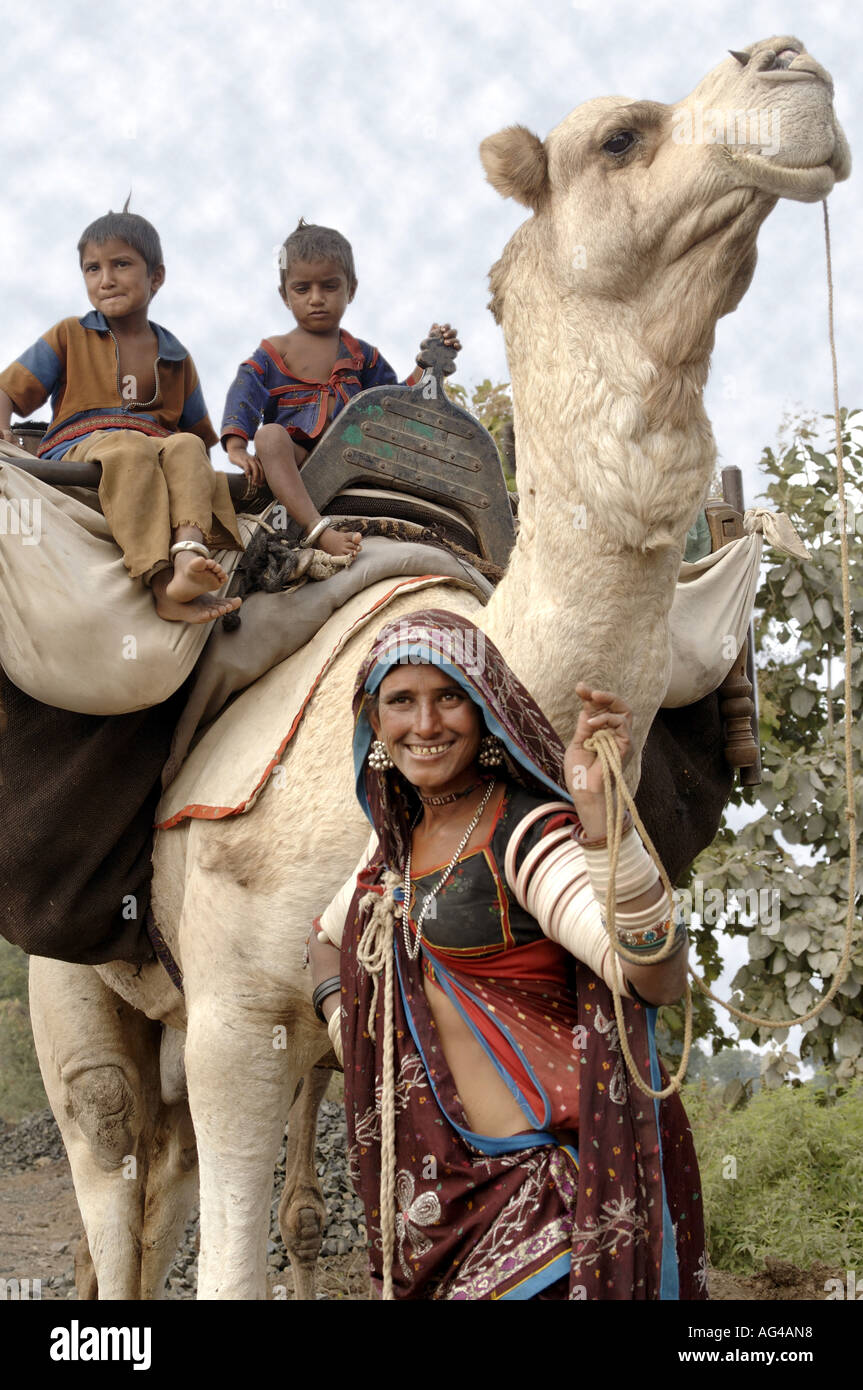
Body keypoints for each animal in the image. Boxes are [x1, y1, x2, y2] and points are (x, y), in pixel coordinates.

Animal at [28, 35, 850, 1301]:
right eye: (617, 136)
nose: (790, 63)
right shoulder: (234, 1016)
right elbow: (229, 1256)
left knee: (175, 1184)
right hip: (76, 977)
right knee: (114, 1157)